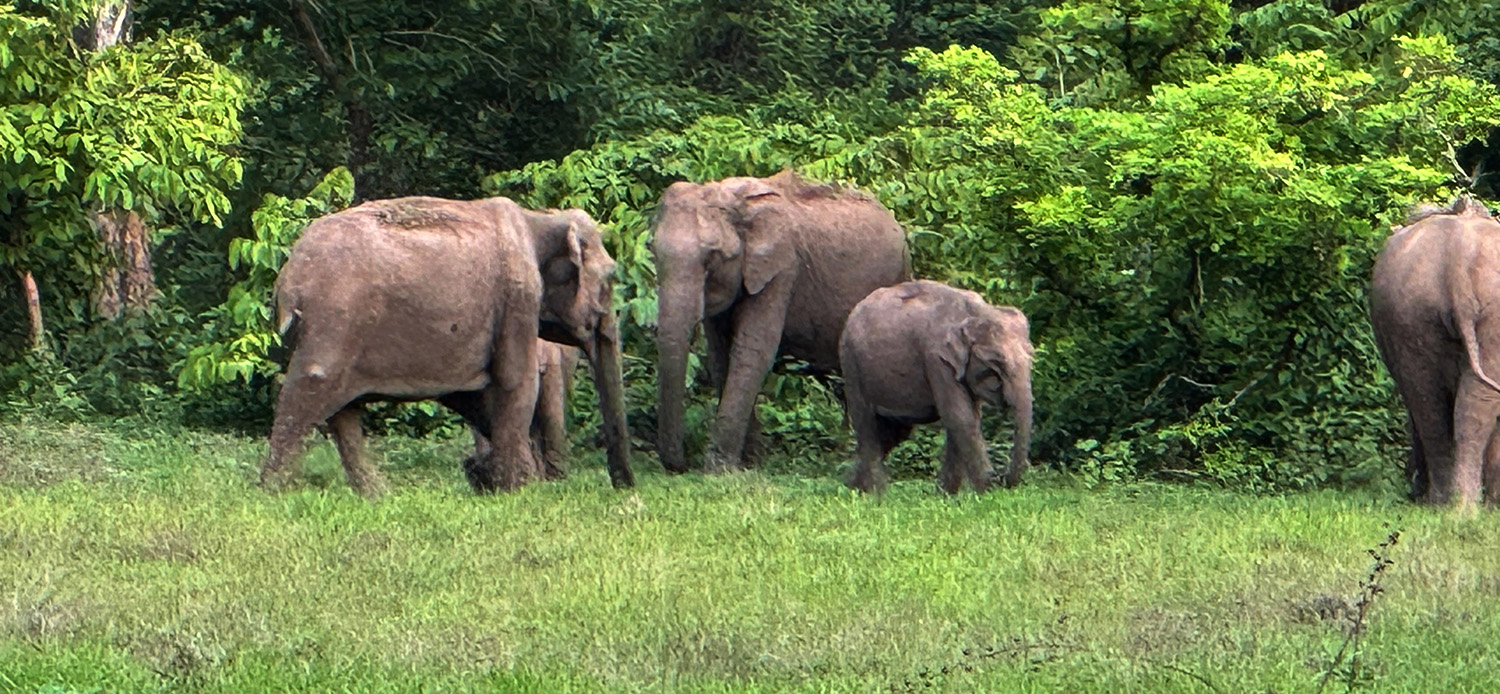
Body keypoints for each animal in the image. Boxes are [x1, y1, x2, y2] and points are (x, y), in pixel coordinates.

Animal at [262, 196, 632, 497]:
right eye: (610, 278)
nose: (624, 488)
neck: (539, 218)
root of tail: (287, 279)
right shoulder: (519, 299)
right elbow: (516, 382)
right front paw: (521, 491)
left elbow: (474, 397)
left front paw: (501, 481)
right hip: (333, 324)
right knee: (311, 388)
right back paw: (274, 493)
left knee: (343, 411)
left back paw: (379, 498)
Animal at [653, 170, 911, 474]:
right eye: (652, 252)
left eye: (712, 259)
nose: (678, 467)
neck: (734, 200)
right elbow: (720, 356)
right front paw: (750, 462)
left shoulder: (782, 267)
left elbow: (753, 350)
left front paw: (719, 470)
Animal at [839, 280, 1034, 495]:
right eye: (995, 363)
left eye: (1031, 357)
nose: (1002, 478)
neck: (977, 311)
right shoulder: (936, 360)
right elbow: (959, 416)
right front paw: (987, 490)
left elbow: (968, 417)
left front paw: (948, 494)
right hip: (851, 365)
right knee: (865, 422)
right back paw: (874, 494)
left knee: (891, 432)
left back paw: (853, 488)